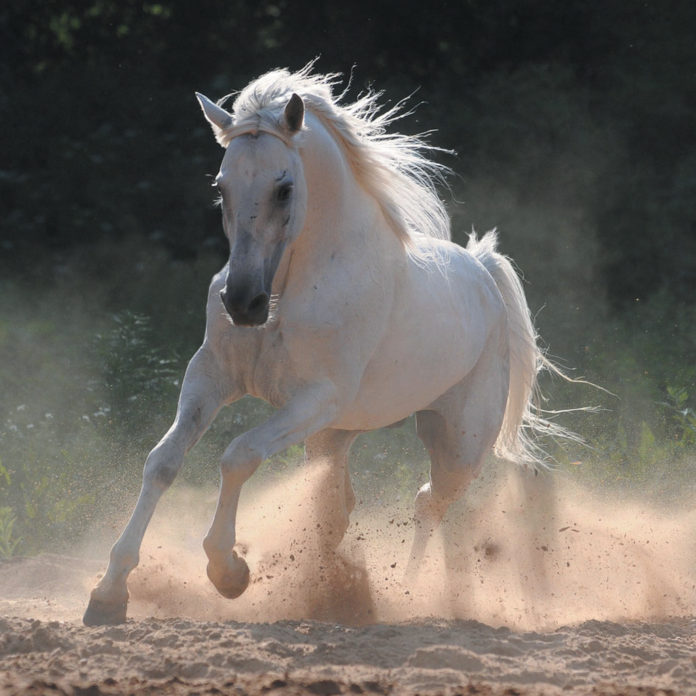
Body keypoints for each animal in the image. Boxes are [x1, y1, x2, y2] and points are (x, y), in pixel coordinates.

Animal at [84, 68, 564, 628]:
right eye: (221, 187)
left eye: (284, 188)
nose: (242, 303)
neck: (288, 289)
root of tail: (484, 271)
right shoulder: (210, 376)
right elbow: (163, 461)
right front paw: (109, 592)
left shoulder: (315, 399)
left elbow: (238, 455)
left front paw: (229, 572)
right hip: (335, 436)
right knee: (346, 507)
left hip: (457, 442)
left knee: (430, 503)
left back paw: (410, 594)